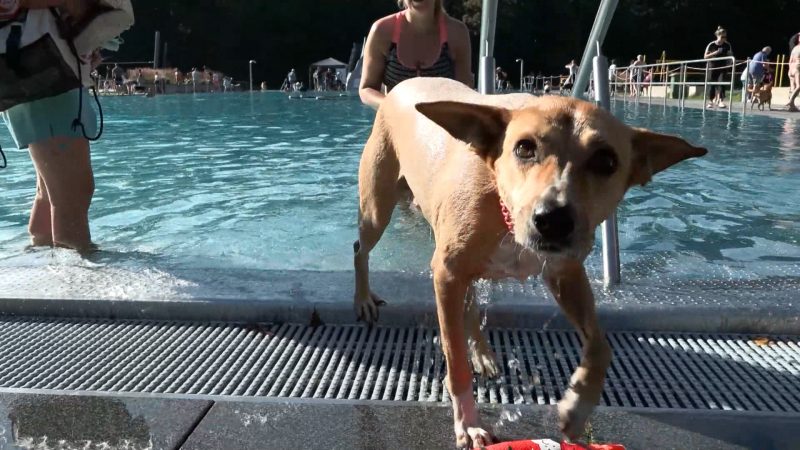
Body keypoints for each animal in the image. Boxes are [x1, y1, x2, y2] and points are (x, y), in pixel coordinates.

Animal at [354, 77, 704, 446]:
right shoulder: (446, 272)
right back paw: (363, 299)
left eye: (606, 161)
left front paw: (577, 407)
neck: (503, 202)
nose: (553, 219)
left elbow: (600, 346)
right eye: (524, 148)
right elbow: (455, 360)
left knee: (470, 302)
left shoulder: (566, 273)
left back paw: (482, 352)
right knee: (360, 249)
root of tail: (394, 91)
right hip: (377, 208)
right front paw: (468, 423)